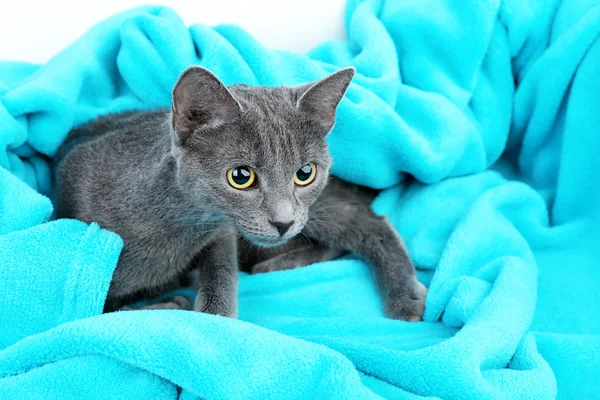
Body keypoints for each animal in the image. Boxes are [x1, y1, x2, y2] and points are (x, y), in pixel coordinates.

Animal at [52, 67, 426, 320]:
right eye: (241, 177)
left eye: (305, 173)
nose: (282, 223)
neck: (174, 227)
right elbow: (93, 312)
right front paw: (172, 304)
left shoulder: (221, 230)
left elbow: (221, 272)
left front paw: (211, 318)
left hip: (316, 211)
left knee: (367, 220)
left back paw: (405, 297)